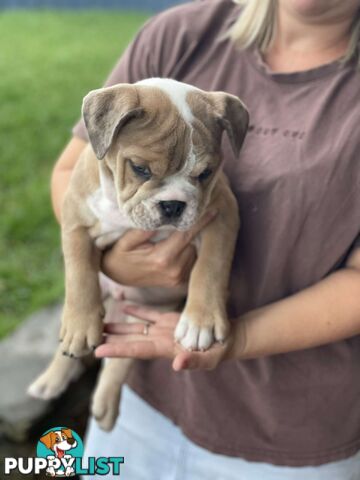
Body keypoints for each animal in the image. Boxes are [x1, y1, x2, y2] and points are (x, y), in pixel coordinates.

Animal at [28, 79, 249, 432]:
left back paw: (104, 408)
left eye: (206, 174)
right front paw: (80, 326)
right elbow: (79, 274)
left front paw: (199, 322)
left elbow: (211, 267)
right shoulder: (75, 220)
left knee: (120, 363)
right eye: (140, 169)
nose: (173, 205)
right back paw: (50, 380)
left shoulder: (222, 214)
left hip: (141, 320)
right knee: (70, 347)